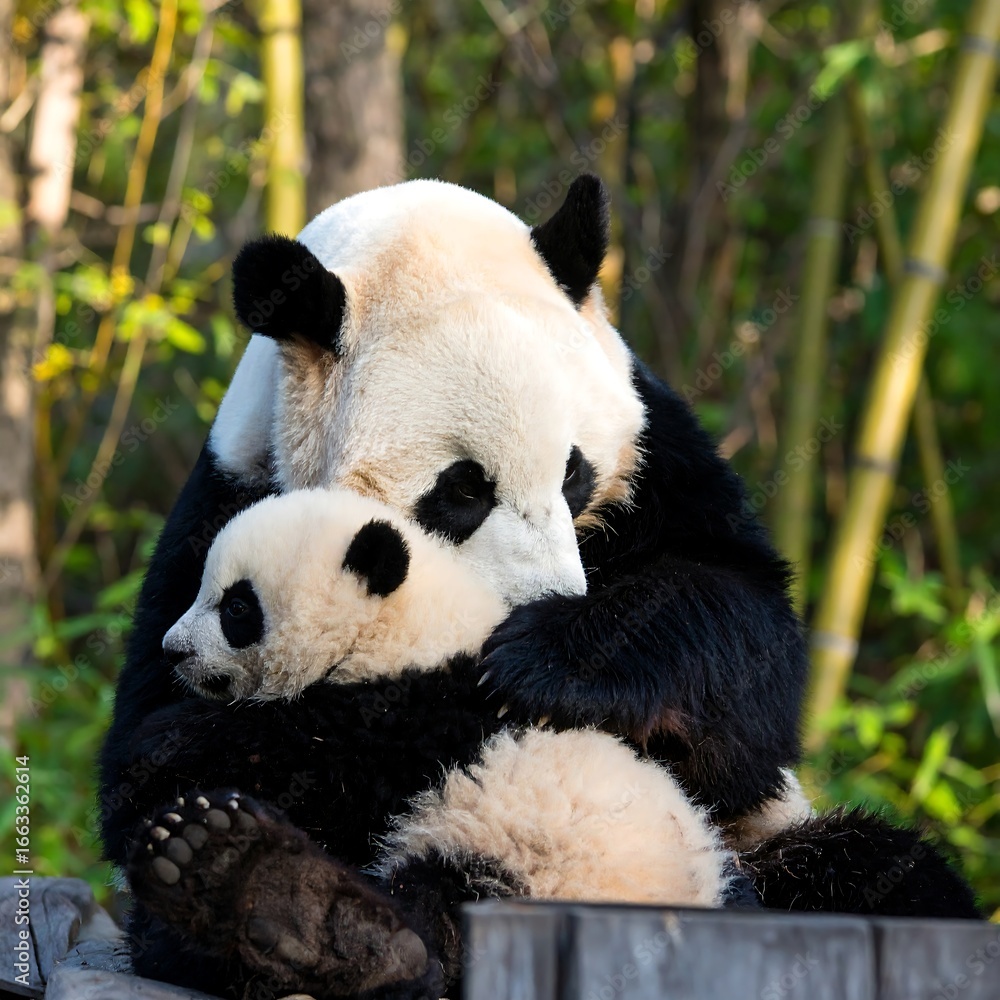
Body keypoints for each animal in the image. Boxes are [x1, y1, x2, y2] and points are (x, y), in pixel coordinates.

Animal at [100, 174, 981, 930]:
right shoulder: (230, 494)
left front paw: (547, 660)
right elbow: (158, 753)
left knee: (883, 870)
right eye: (462, 491)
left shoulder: (657, 450)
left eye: (573, 472)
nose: (540, 603)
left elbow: (749, 655)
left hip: (761, 838)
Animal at [126, 488, 735, 1000]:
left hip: (522, 853)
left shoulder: (412, 718)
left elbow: (305, 760)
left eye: (236, 607)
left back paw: (275, 895)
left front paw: (164, 745)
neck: (408, 626)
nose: (173, 650)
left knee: (437, 920)